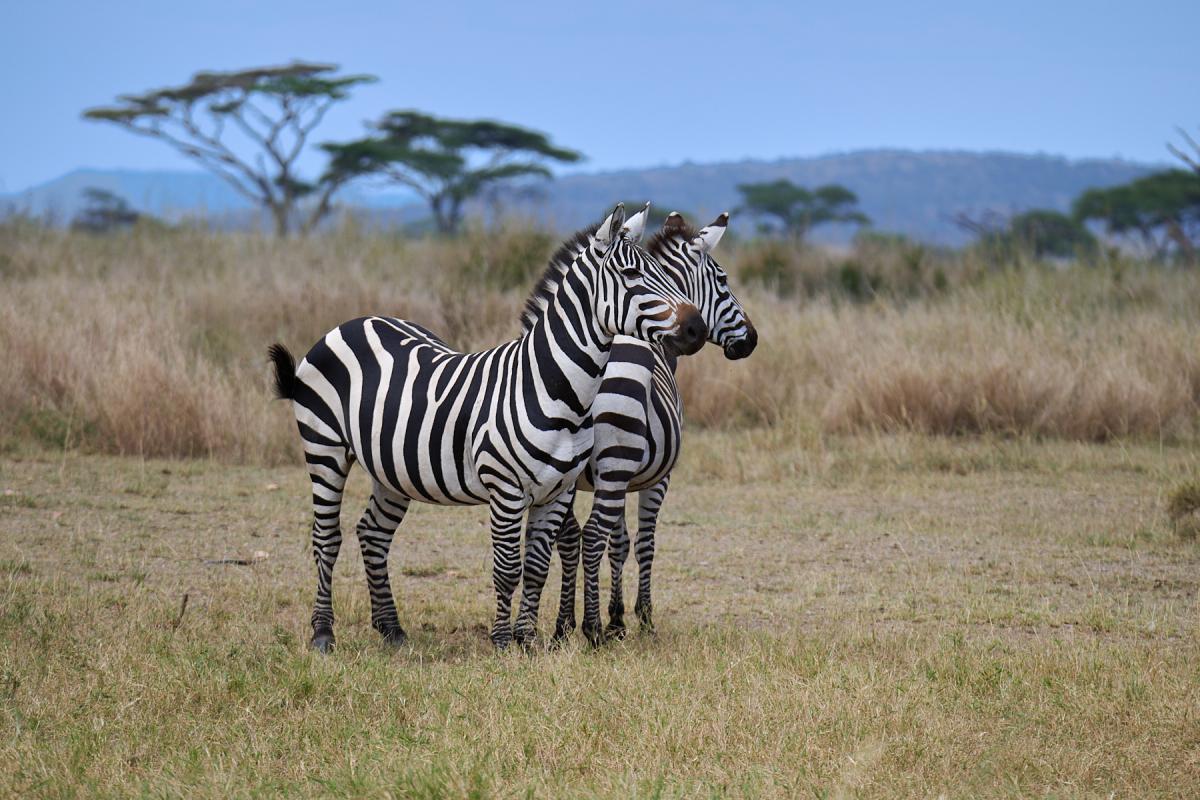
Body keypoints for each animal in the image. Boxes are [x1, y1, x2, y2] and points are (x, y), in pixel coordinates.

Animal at [268, 203, 711, 651]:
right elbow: (508, 568)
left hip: (391, 469)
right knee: (327, 538)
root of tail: (351, 323)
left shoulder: (557, 491)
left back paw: (391, 629)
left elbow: (537, 566)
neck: (553, 387)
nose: (697, 329)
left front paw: (528, 640)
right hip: (324, 450)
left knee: (373, 533)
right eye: (632, 274)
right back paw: (323, 633)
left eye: (659, 270)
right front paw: (501, 641)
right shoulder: (507, 490)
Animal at [510, 211, 756, 647]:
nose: (752, 340)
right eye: (722, 279)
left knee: (569, 538)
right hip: (614, 465)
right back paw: (592, 629)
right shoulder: (654, 477)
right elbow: (643, 542)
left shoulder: (603, 476)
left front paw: (613, 616)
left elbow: (618, 542)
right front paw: (636, 617)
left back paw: (563, 626)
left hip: (568, 476)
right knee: (592, 536)